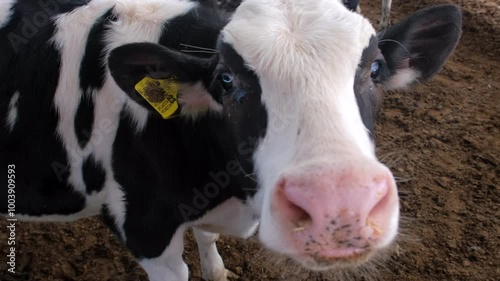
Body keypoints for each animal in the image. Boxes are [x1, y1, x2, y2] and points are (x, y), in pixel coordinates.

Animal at [0, 0, 460, 280]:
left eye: (376, 68)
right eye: (226, 79)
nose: (338, 208)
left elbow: (207, 239)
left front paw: (218, 269)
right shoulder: (144, 231)